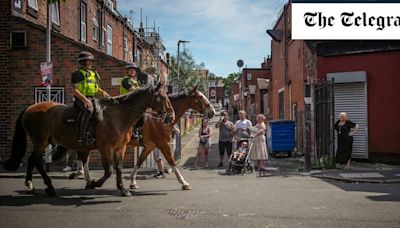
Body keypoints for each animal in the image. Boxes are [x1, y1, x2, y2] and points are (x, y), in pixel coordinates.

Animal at [2, 83, 173, 196]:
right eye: (161, 98)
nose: (170, 116)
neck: (118, 116)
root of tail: (30, 107)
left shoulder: (120, 148)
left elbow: (118, 168)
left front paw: (122, 188)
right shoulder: (105, 148)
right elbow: (109, 171)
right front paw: (94, 183)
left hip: (44, 141)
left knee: (32, 159)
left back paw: (30, 185)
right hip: (40, 141)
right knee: (37, 161)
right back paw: (49, 186)